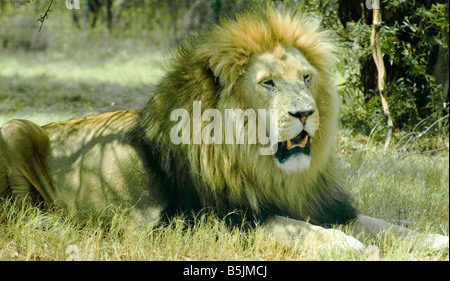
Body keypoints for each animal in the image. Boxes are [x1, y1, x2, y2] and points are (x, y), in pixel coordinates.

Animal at [1, 7, 448, 252]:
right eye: (268, 83)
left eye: (306, 77)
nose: (306, 113)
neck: (264, 169)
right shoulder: (198, 220)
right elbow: (287, 225)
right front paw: (344, 245)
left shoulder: (325, 204)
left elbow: (383, 225)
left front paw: (434, 239)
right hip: (14, 129)